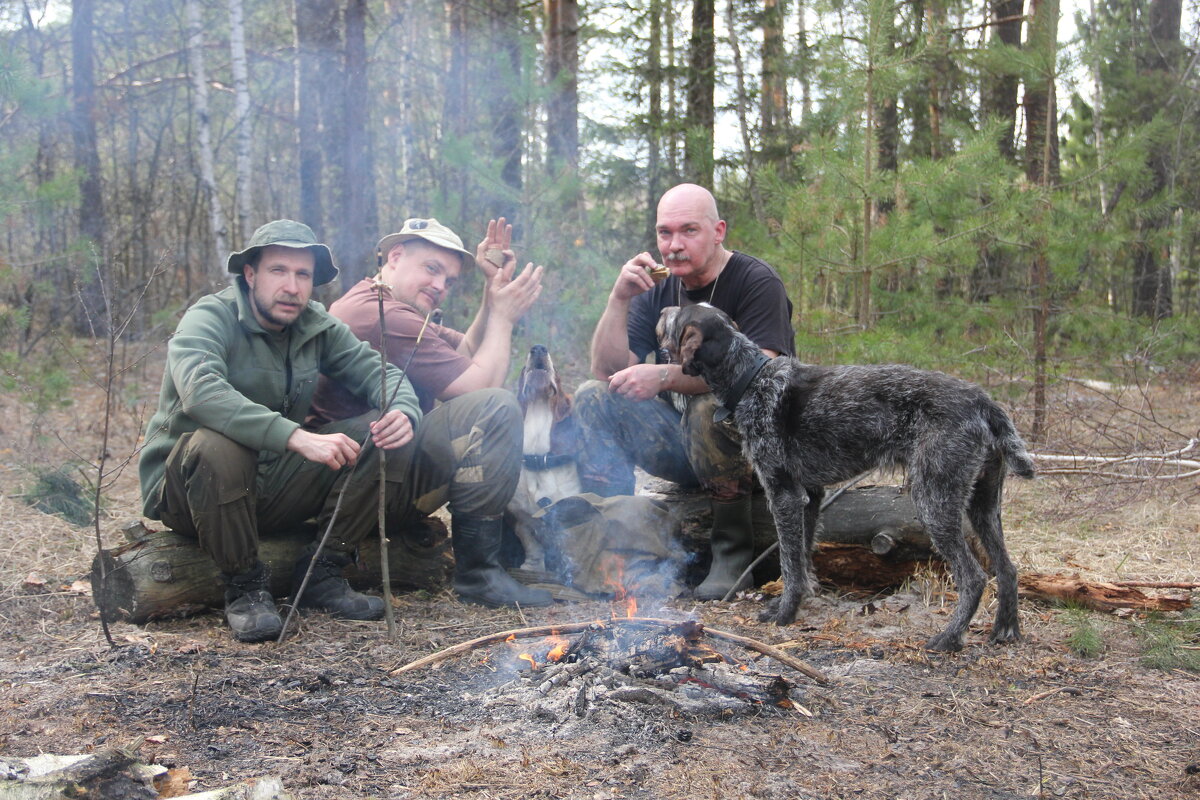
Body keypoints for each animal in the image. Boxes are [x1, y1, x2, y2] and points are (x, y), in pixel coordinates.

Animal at [662, 303, 1036, 652]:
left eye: (677, 318)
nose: (665, 307)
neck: (751, 378)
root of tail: (982, 400)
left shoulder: (783, 493)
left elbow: (788, 562)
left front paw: (784, 613)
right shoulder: (810, 496)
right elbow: (802, 559)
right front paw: (800, 600)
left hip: (935, 501)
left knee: (974, 577)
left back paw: (949, 637)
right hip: (982, 505)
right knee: (1007, 569)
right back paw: (1005, 630)